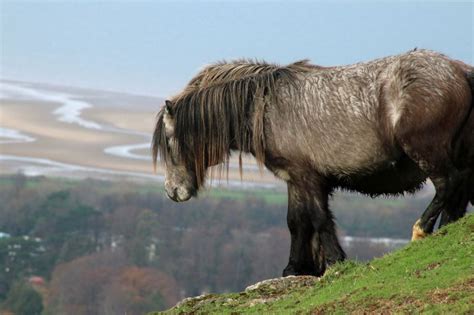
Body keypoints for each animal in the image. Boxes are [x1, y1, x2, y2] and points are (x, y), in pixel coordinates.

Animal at [154, 48, 472, 276]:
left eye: (168, 142)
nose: (172, 192)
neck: (266, 108)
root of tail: (461, 71)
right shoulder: (294, 179)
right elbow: (297, 221)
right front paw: (295, 268)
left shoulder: (308, 177)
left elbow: (318, 218)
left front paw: (334, 262)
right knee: (458, 194)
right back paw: (446, 229)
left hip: (427, 152)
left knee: (449, 184)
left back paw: (421, 230)